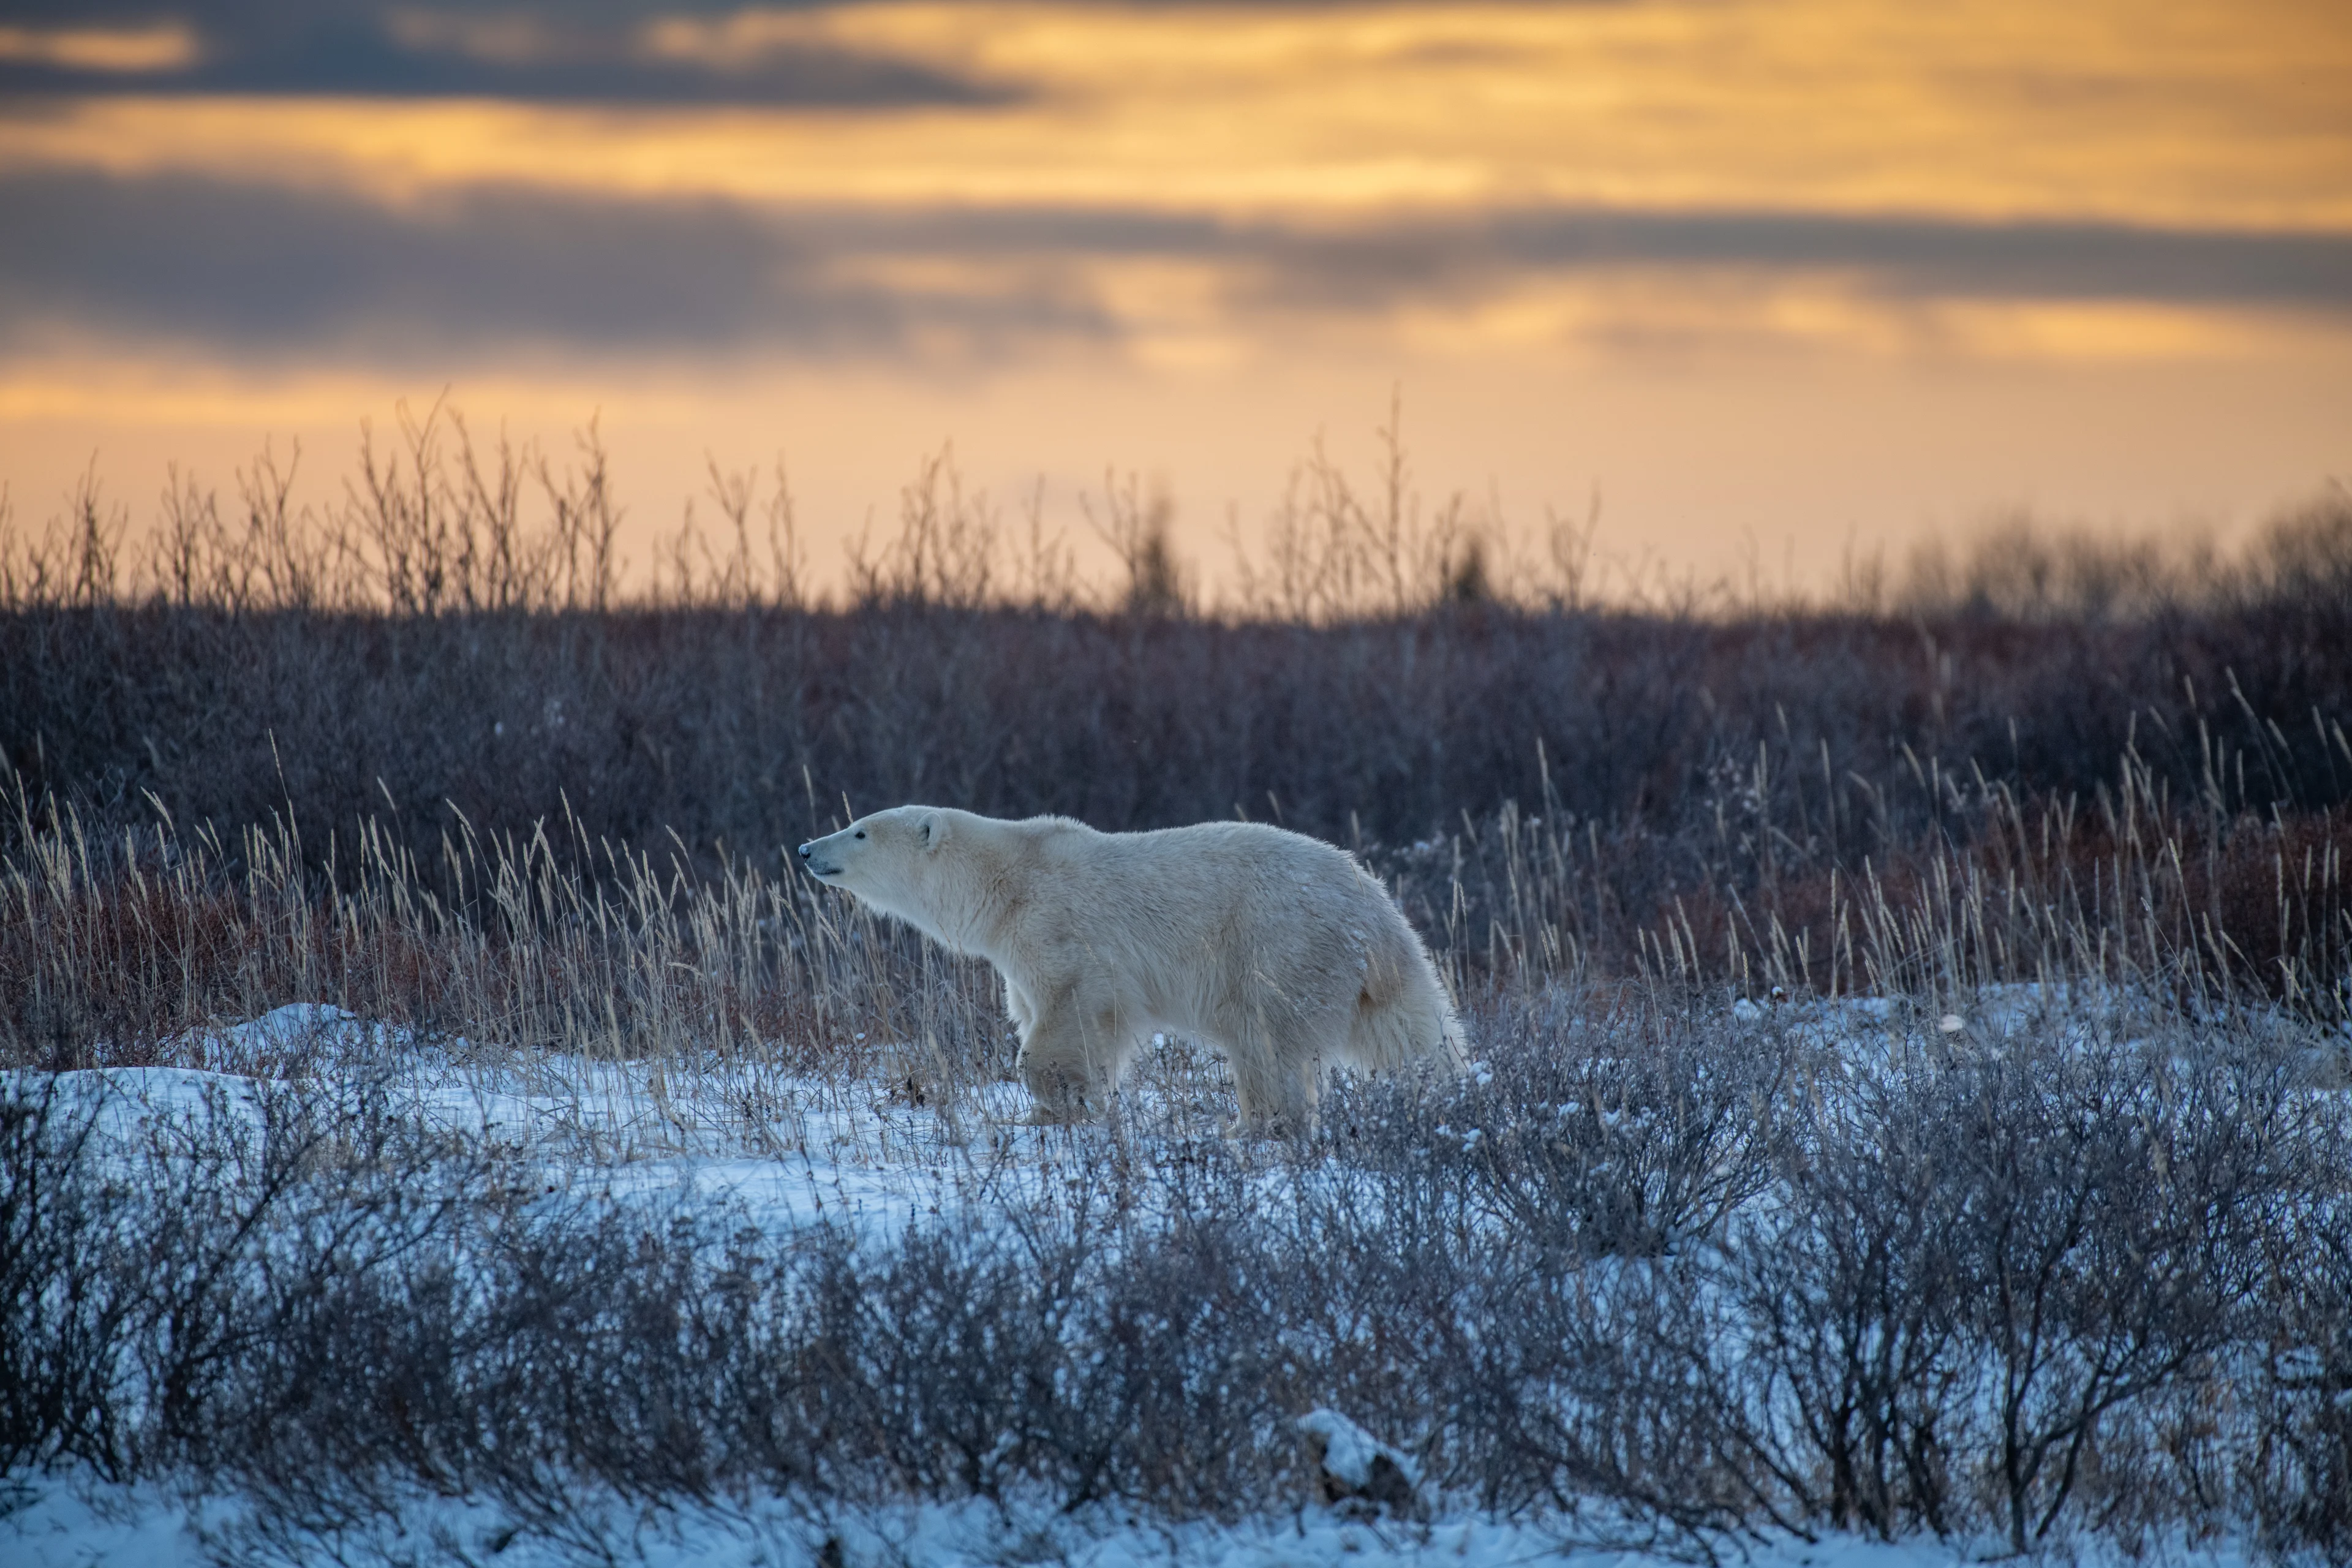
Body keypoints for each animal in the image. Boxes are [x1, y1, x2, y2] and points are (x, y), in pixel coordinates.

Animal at [799, 809, 1458, 1128]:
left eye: (859, 830)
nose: (807, 848)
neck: (1009, 878)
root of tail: (1376, 908)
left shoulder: (1063, 929)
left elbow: (1074, 1010)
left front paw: (1057, 1105)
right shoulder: (1017, 952)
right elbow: (1033, 1009)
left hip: (1280, 945)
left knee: (1268, 1040)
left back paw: (1259, 1126)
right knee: (1410, 1031)